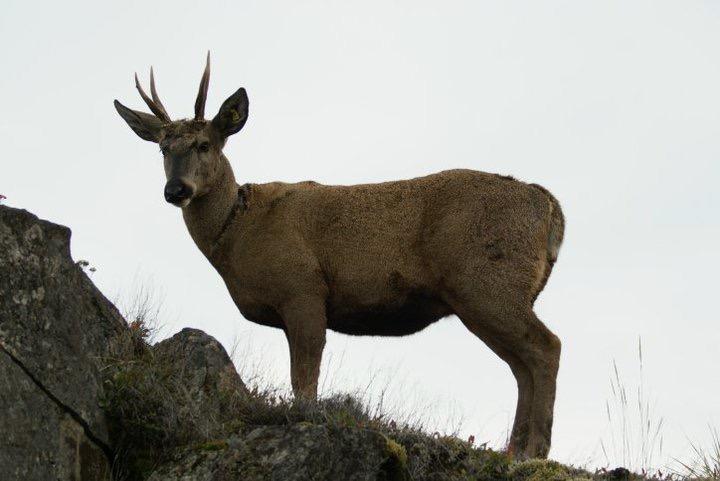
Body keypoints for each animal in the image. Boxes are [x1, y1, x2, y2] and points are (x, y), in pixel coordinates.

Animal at [112, 54, 564, 460]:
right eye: (162, 149)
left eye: (204, 144)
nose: (176, 190)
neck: (238, 232)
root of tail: (550, 207)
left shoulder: (303, 288)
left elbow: (304, 381)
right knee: (521, 364)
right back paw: (515, 451)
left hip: (486, 282)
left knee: (547, 346)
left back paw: (535, 452)